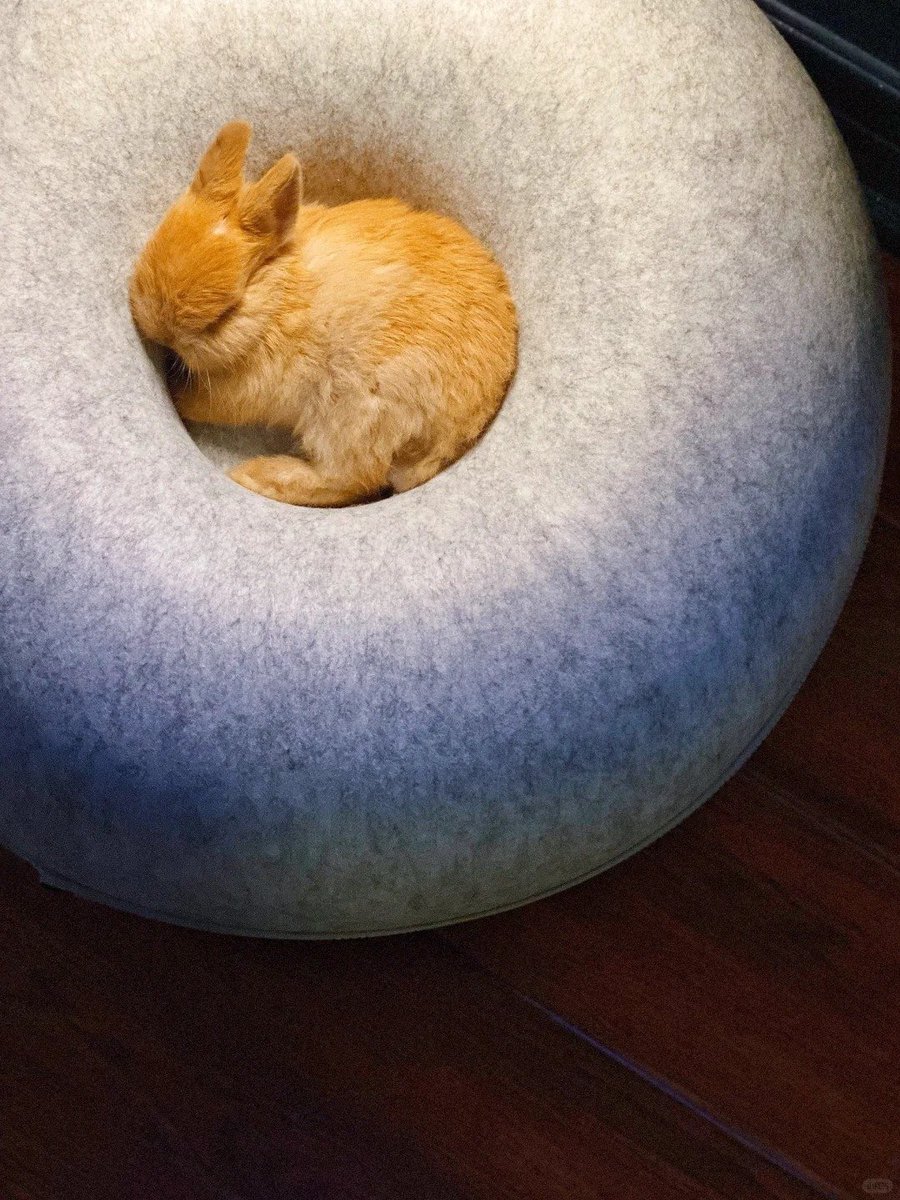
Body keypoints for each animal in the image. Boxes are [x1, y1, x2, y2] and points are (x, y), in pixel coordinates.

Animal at [129, 121, 518, 506]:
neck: (277, 302)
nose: (160, 331)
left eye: (223, 315)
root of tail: (468, 423)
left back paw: (254, 474)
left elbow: (206, 404)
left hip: (355, 411)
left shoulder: (248, 389)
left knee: (352, 478)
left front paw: (177, 395)